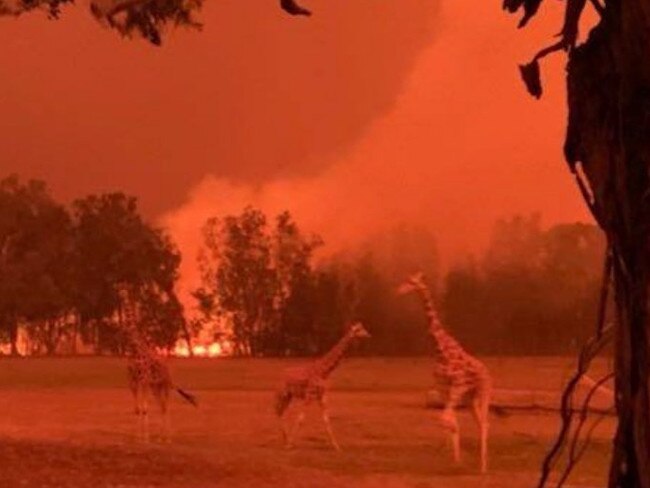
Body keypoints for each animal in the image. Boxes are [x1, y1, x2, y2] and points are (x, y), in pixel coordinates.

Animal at [116, 284, 196, 444]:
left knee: (166, 406)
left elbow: (145, 409)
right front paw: (138, 437)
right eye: (119, 289)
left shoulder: (144, 380)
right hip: (156, 387)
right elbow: (138, 410)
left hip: (165, 386)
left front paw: (145, 438)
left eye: (124, 289)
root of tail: (168, 370)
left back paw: (167, 438)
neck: (134, 348)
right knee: (161, 407)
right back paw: (160, 437)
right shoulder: (133, 381)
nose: (121, 294)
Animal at [270, 322, 368, 452]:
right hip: (282, 393)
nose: (368, 334)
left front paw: (336, 446)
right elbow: (301, 419)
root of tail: (281, 374)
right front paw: (291, 444)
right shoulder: (309, 395)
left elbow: (326, 420)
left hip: (289, 396)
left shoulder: (323, 396)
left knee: (282, 412)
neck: (324, 371)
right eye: (358, 330)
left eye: (363, 328)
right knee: (278, 411)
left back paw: (285, 440)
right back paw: (286, 441)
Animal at [394, 270, 492, 472]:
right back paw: (478, 462)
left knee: (485, 423)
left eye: (412, 282)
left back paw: (483, 466)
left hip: (484, 392)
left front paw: (457, 456)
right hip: (471, 398)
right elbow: (449, 420)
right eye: (405, 280)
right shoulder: (444, 389)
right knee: (480, 423)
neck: (441, 351)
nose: (398, 290)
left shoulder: (457, 387)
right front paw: (455, 459)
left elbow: (445, 418)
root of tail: (487, 372)